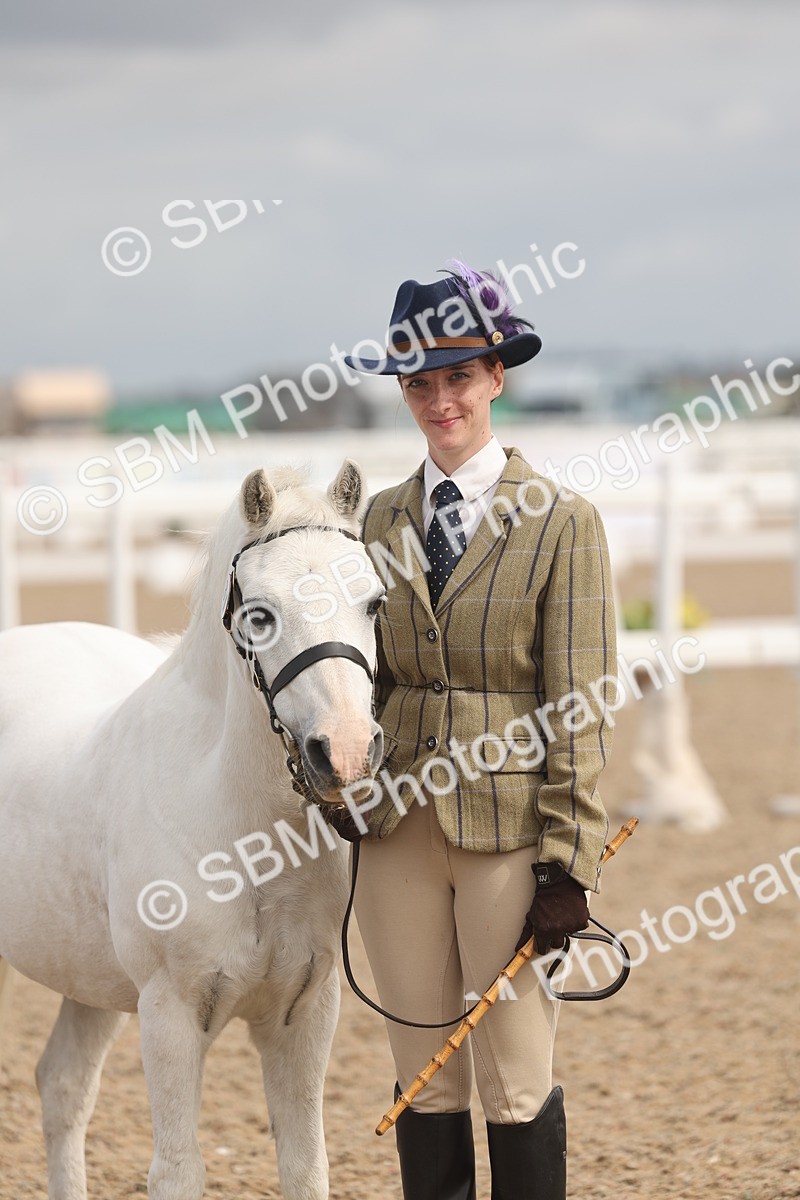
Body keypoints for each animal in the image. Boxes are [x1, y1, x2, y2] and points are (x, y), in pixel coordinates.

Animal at [0, 460, 385, 1200]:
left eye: (374, 602)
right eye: (260, 614)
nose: (346, 752)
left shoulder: (304, 1014)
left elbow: (305, 1164)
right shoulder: (170, 1015)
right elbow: (178, 1170)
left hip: (85, 979)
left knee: (62, 1086)